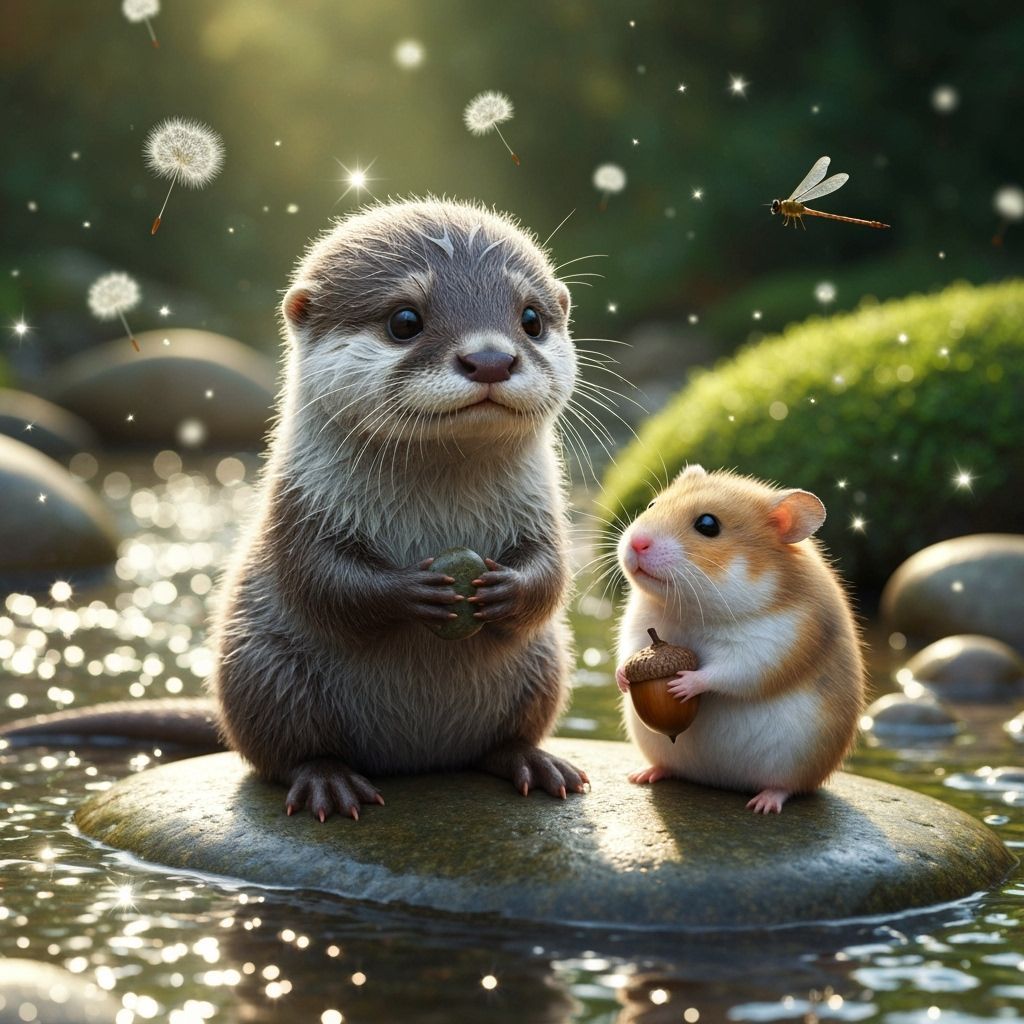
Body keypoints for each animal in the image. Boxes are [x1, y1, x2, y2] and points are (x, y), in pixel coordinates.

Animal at [2, 199, 589, 820]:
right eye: (404, 320)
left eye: (531, 319)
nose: (490, 358)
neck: (440, 505)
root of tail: (419, 759)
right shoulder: (299, 508)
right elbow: (320, 581)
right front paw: (413, 590)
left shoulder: (546, 513)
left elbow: (553, 573)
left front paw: (505, 590)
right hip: (263, 669)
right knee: (285, 753)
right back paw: (328, 782)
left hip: (544, 663)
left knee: (504, 737)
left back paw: (535, 762)